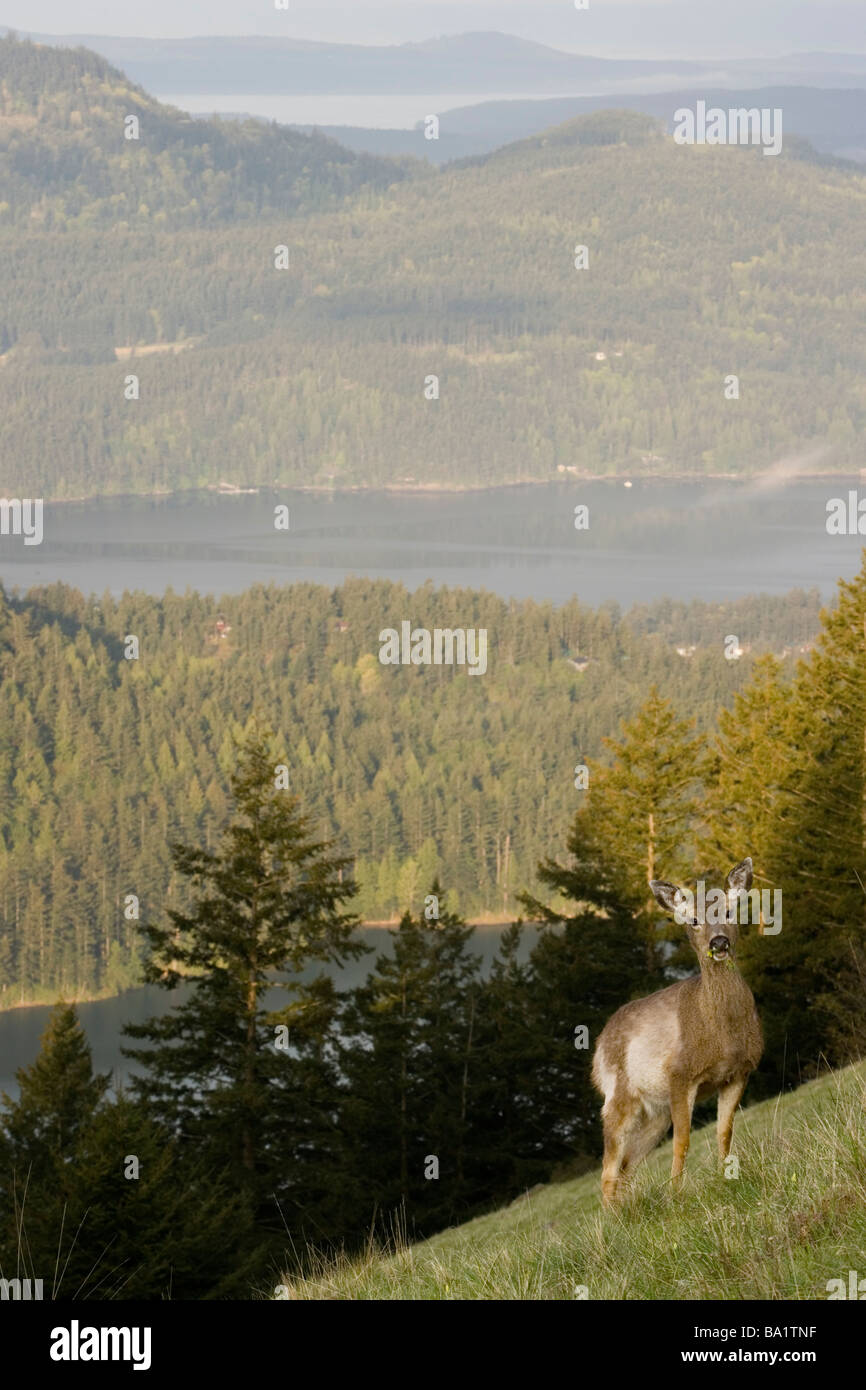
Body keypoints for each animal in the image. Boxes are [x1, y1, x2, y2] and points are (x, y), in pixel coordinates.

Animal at [589, 856, 767, 1206]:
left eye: (729, 912)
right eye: (694, 920)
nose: (719, 942)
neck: (722, 1036)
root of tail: (597, 1049)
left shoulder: (739, 1073)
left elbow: (724, 1131)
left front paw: (724, 1178)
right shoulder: (680, 1075)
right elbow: (683, 1140)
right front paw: (676, 1194)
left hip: (654, 1112)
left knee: (626, 1165)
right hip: (618, 1095)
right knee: (608, 1167)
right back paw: (612, 1218)